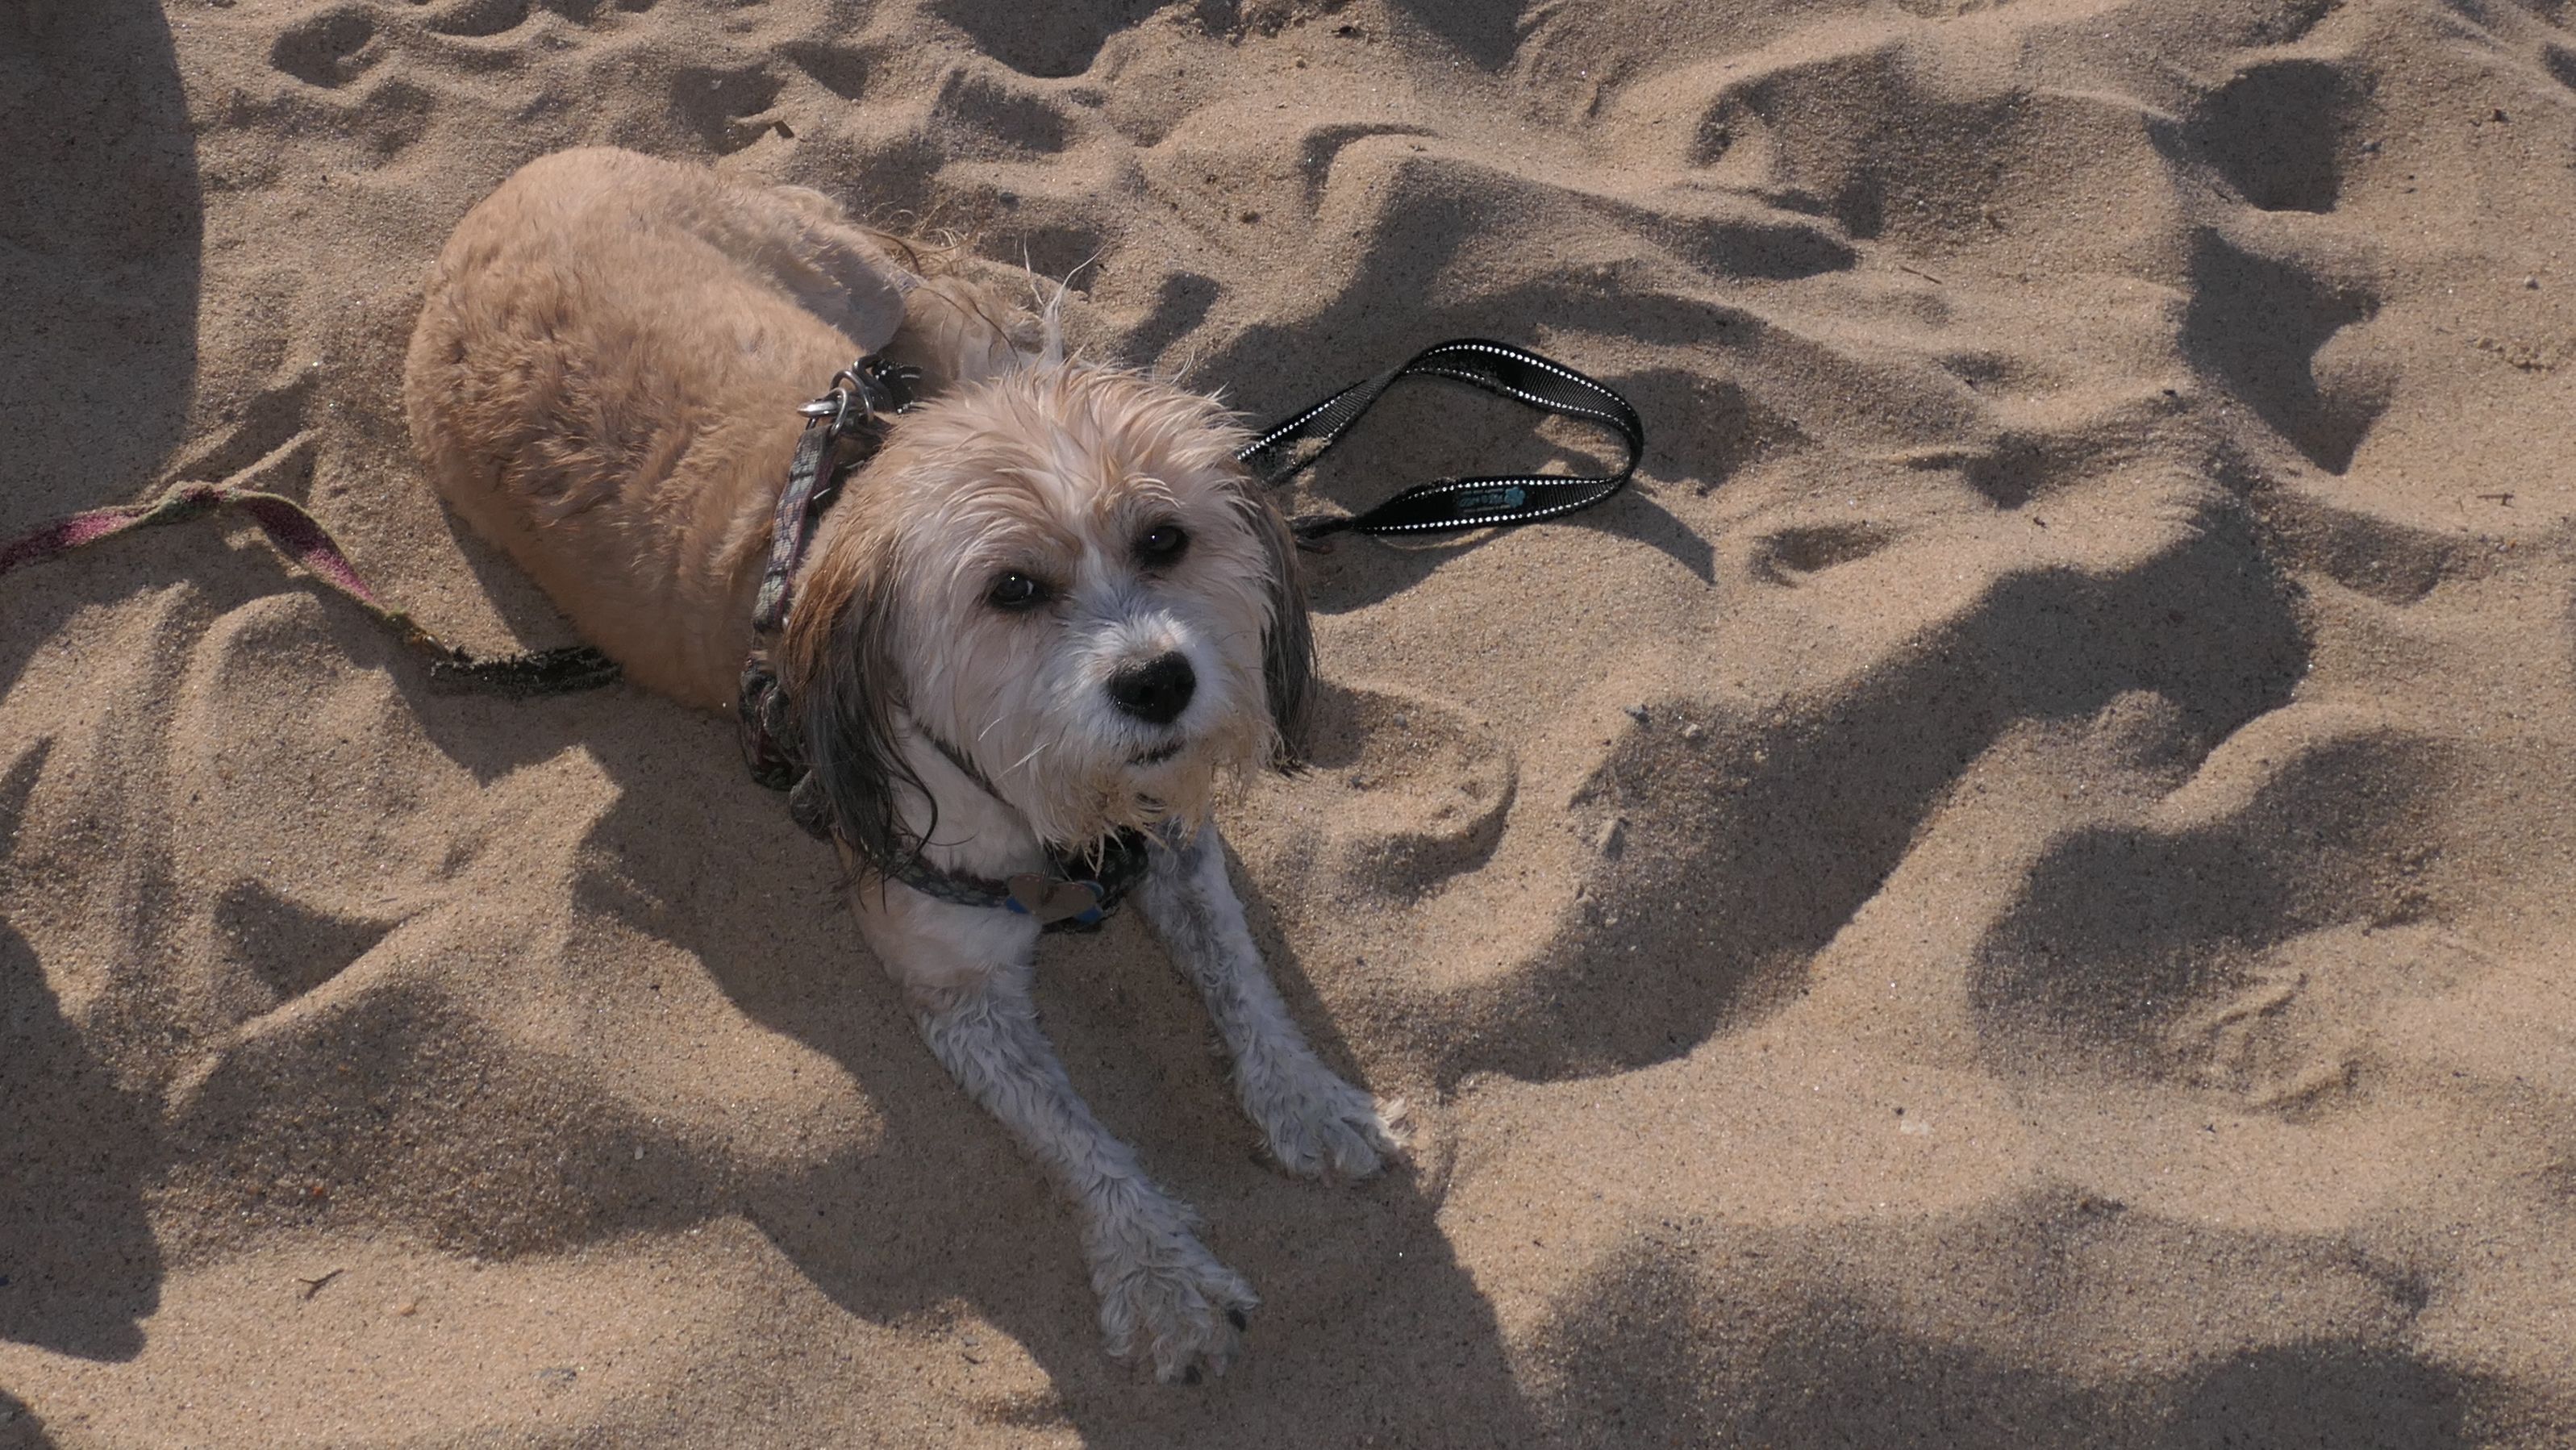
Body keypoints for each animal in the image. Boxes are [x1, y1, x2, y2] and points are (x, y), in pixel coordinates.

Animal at [402, 148, 1400, 1382]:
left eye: (1165, 539)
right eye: (1011, 590)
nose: (1159, 681)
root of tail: (523, 178)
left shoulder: (1165, 831)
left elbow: (1242, 978)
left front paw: (1307, 1100)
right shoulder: (957, 984)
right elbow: (1074, 1140)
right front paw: (1157, 1274)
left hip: (858, 282)